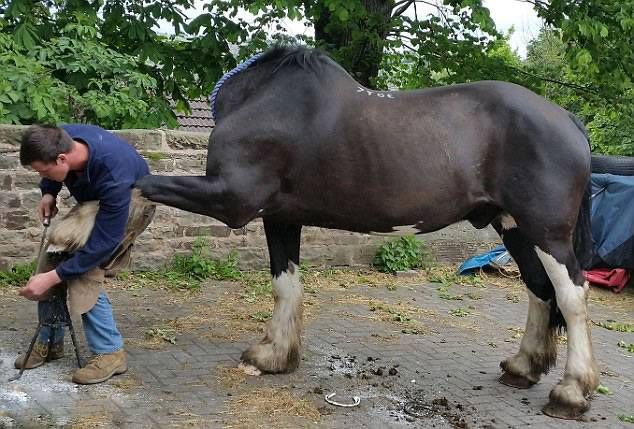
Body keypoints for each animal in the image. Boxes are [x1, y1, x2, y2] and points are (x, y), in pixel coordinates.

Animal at [136, 46, 596, 418]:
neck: (261, 99)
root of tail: (567, 118)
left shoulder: (229, 199)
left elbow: (143, 184)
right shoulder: (280, 217)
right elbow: (286, 284)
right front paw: (274, 356)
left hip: (547, 232)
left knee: (571, 295)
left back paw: (571, 392)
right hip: (514, 226)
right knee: (539, 288)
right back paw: (523, 368)